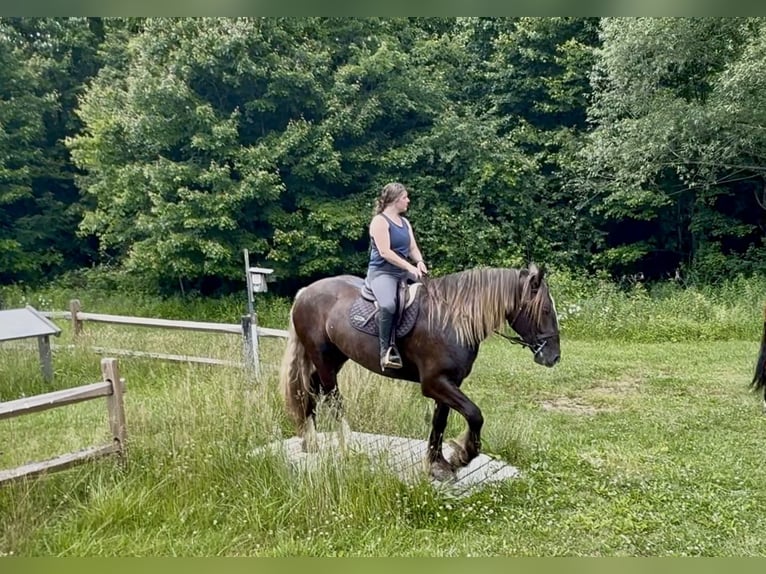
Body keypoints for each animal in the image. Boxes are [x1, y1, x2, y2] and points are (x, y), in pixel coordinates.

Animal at [278, 264, 561, 481]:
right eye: (546, 310)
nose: (554, 357)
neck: (450, 320)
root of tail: (305, 292)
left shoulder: (449, 383)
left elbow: (440, 422)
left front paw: (438, 465)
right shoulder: (435, 383)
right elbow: (474, 415)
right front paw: (462, 455)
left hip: (335, 357)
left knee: (310, 391)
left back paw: (310, 441)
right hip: (323, 359)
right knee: (333, 398)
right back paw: (347, 447)